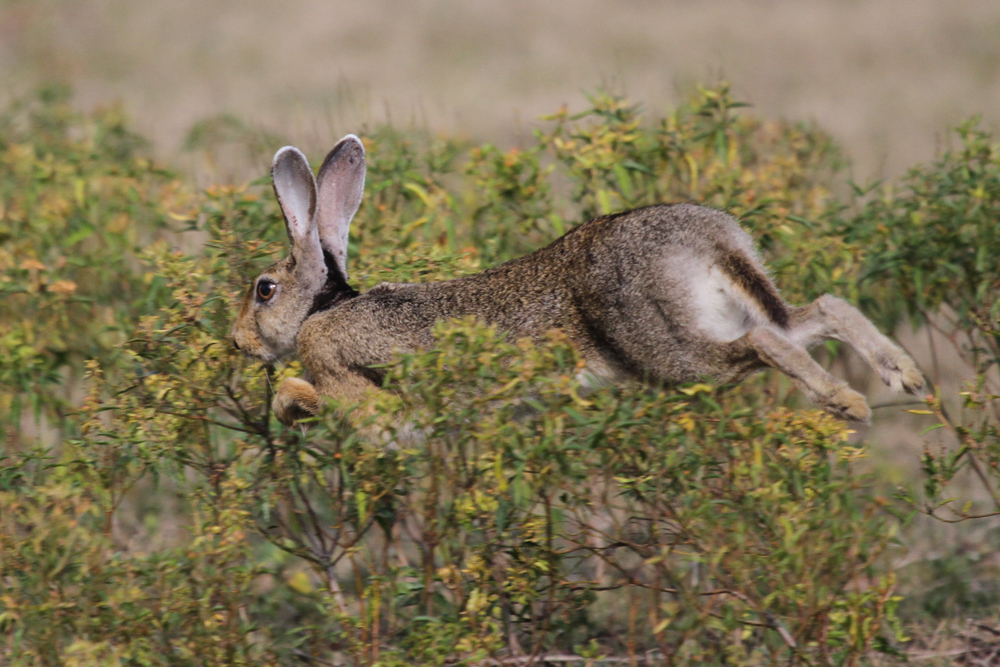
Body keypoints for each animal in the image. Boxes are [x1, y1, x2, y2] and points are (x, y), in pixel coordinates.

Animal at [232, 134, 924, 427]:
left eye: (264, 289)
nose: (239, 342)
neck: (322, 310)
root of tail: (705, 240)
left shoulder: (353, 384)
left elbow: (319, 394)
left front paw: (287, 406)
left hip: (664, 350)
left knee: (764, 345)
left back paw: (849, 403)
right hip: (721, 314)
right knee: (819, 312)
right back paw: (905, 377)